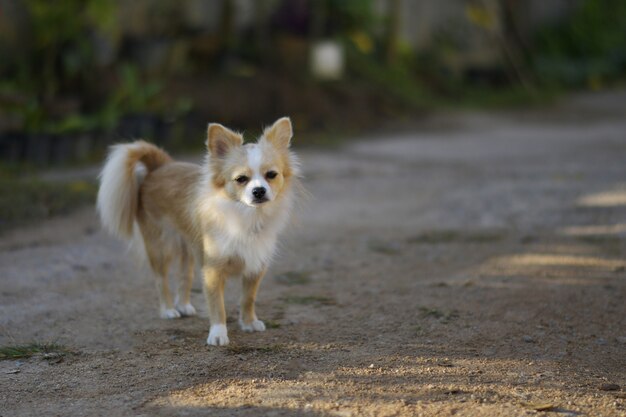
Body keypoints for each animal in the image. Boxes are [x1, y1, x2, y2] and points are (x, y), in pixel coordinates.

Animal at [97, 117, 300, 344]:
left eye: (271, 175)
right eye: (241, 179)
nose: (259, 191)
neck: (246, 216)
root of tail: (159, 167)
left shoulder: (255, 266)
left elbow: (248, 298)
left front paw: (248, 323)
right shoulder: (213, 269)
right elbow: (217, 304)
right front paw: (218, 333)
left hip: (189, 248)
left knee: (184, 276)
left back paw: (183, 305)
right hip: (161, 247)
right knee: (161, 279)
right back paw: (168, 309)